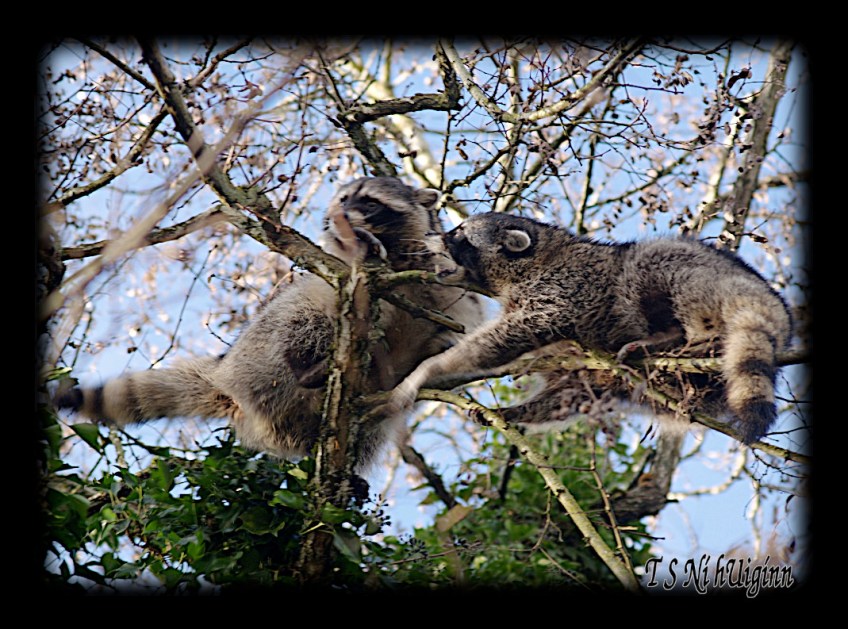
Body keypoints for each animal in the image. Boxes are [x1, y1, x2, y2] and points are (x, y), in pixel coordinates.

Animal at [56, 177, 484, 468]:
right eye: (344, 199)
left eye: (370, 201)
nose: (335, 217)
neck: (396, 254)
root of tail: (226, 375)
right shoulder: (340, 267)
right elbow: (338, 267)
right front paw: (358, 240)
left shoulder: (449, 285)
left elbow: (459, 322)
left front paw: (444, 346)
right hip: (263, 348)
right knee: (303, 316)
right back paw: (309, 365)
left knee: (370, 432)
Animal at [388, 212, 792, 444]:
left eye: (458, 233)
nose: (429, 236)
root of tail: (775, 305)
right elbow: (573, 392)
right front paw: (512, 413)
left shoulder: (564, 292)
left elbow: (508, 335)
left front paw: (427, 371)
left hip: (700, 276)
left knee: (650, 259)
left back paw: (678, 336)